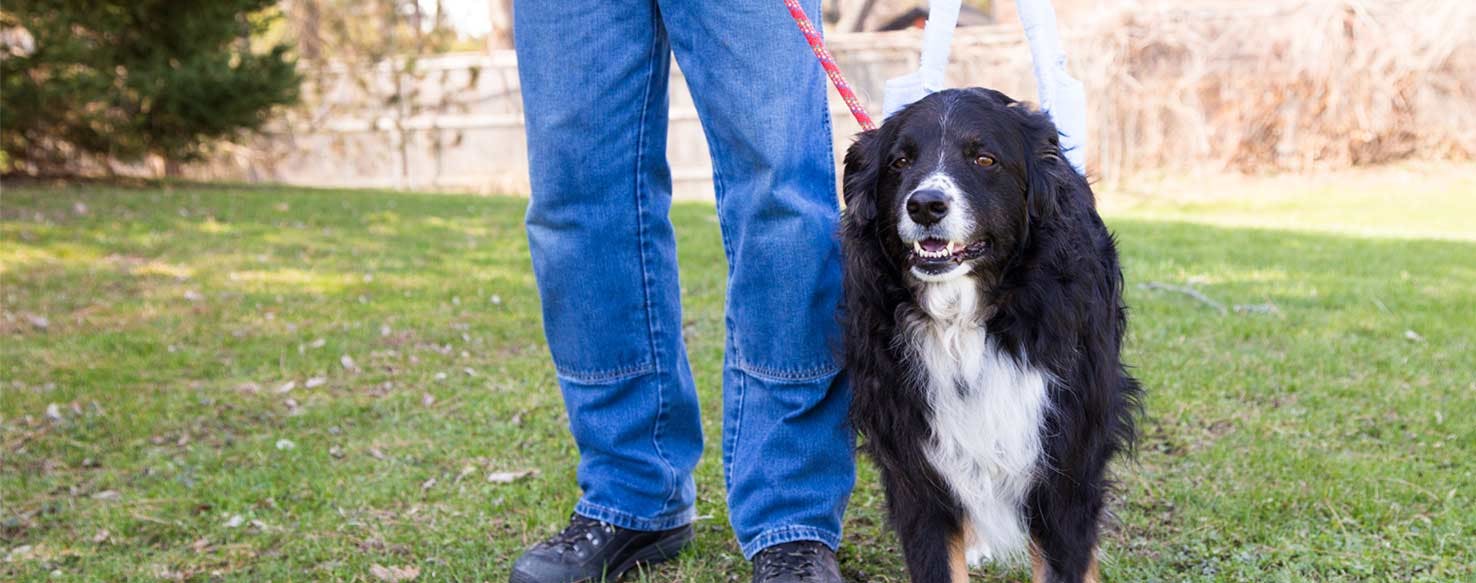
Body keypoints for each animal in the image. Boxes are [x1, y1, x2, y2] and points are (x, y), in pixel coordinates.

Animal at [844, 87, 1139, 583]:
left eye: (984, 159)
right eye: (900, 162)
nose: (925, 205)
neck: (965, 322)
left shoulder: (1064, 460)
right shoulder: (917, 462)